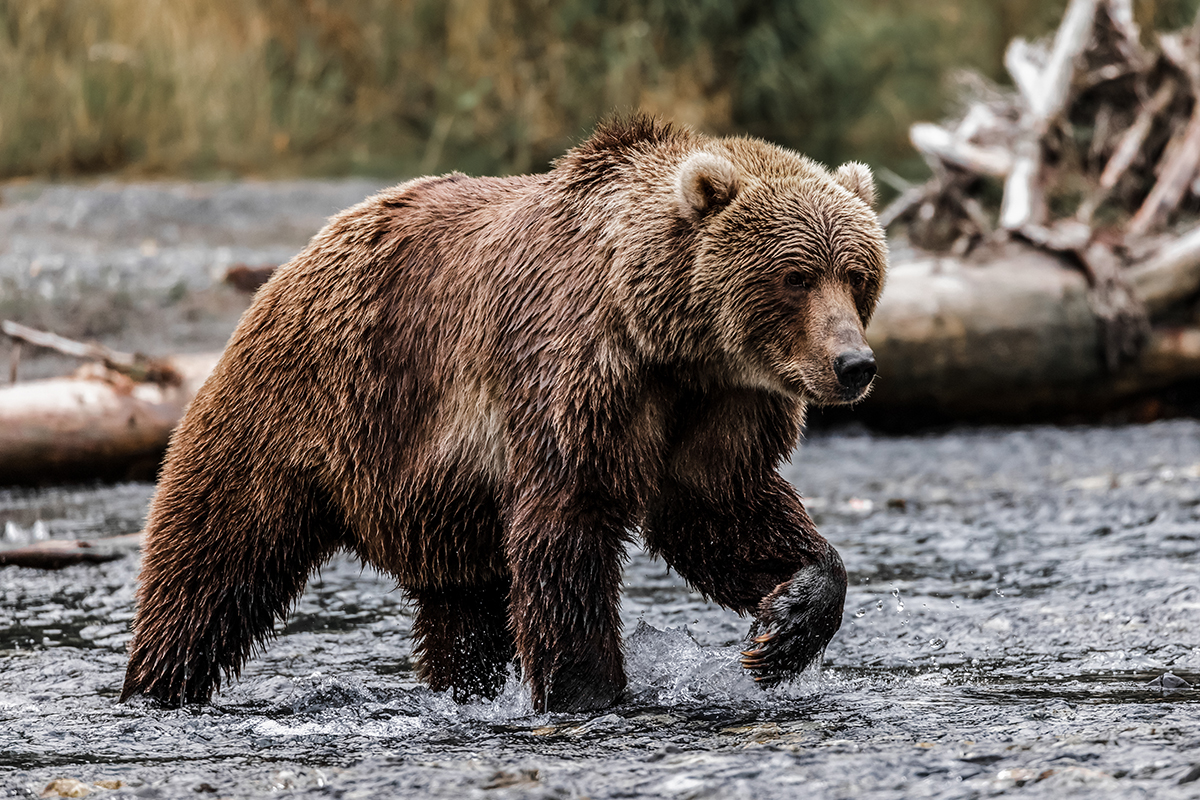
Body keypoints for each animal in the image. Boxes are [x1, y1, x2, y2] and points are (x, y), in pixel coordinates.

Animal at [121, 113, 888, 714]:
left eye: (857, 273)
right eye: (795, 276)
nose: (854, 364)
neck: (670, 341)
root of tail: (297, 260)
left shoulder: (722, 406)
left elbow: (721, 510)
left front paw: (782, 628)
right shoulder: (578, 378)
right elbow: (567, 535)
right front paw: (588, 691)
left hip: (438, 507)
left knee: (463, 611)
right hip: (299, 409)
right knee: (213, 560)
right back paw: (158, 684)